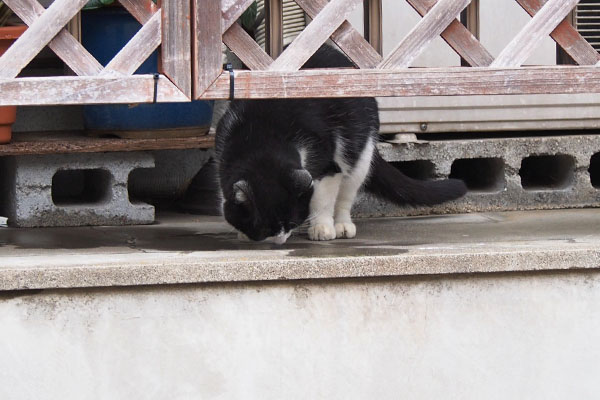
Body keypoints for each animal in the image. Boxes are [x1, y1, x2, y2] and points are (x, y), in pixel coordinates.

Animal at [213, 45, 466, 242]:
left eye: (291, 222)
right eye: (266, 228)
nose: (280, 239)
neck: (263, 132)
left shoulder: (327, 165)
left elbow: (322, 200)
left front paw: (321, 227)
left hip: (360, 157)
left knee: (346, 195)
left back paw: (342, 226)